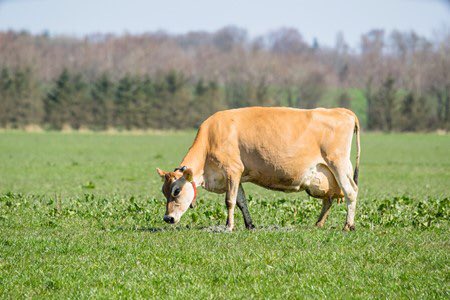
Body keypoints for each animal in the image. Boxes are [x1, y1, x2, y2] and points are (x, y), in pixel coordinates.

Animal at [156, 106, 360, 231]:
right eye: (164, 191)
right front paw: (249, 225)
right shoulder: (236, 176)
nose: (168, 218)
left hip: (338, 163)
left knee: (350, 191)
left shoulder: (232, 170)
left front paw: (228, 226)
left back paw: (348, 225)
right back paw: (318, 223)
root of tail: (343, 111)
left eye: (176, 191)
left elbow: (230, 201)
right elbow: (241, 201)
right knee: (329, 198)